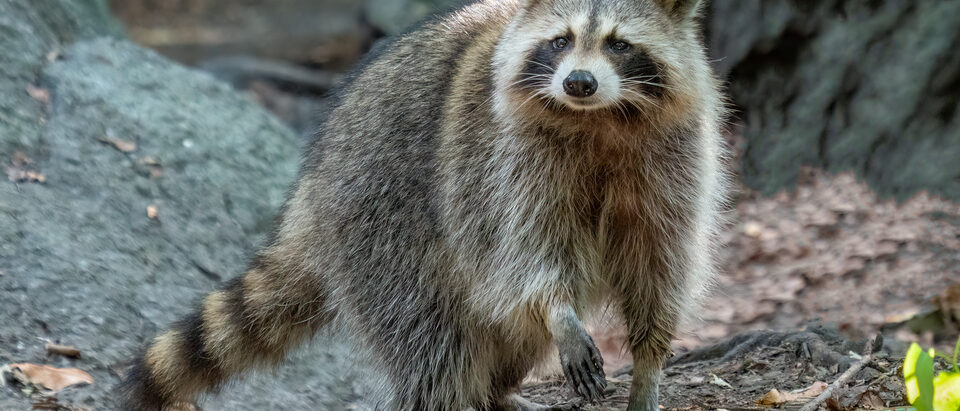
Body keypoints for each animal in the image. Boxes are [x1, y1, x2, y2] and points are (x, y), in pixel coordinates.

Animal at [121, 0, 728, 409]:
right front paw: (559, 309)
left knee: (506, 332)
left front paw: (649, 364)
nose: (578, 82)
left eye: (618, 44)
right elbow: (526, 251)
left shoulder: (674, 161)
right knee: (432, 338)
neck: (600, 118)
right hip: (380, 219)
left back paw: (498, 389)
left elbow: (660, 262)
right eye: (561, 40)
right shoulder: (503, 162)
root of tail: (312, 189)